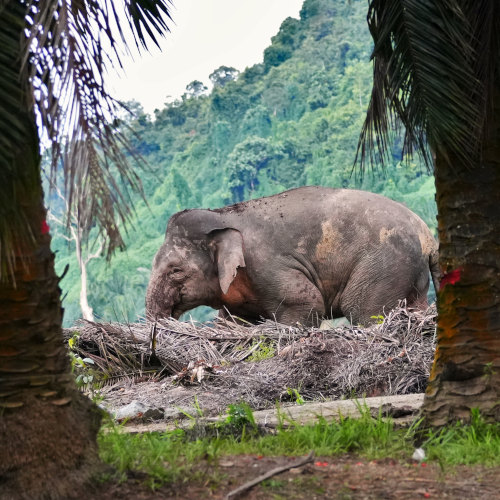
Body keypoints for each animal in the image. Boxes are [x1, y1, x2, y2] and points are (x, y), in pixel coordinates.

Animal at [144, 186, 438, 326]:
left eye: (175, 270)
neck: (221, 215)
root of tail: (429, 236)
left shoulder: (265, 264)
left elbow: (307, 302)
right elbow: (233, 322)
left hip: (386, 263)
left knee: (362, 310)